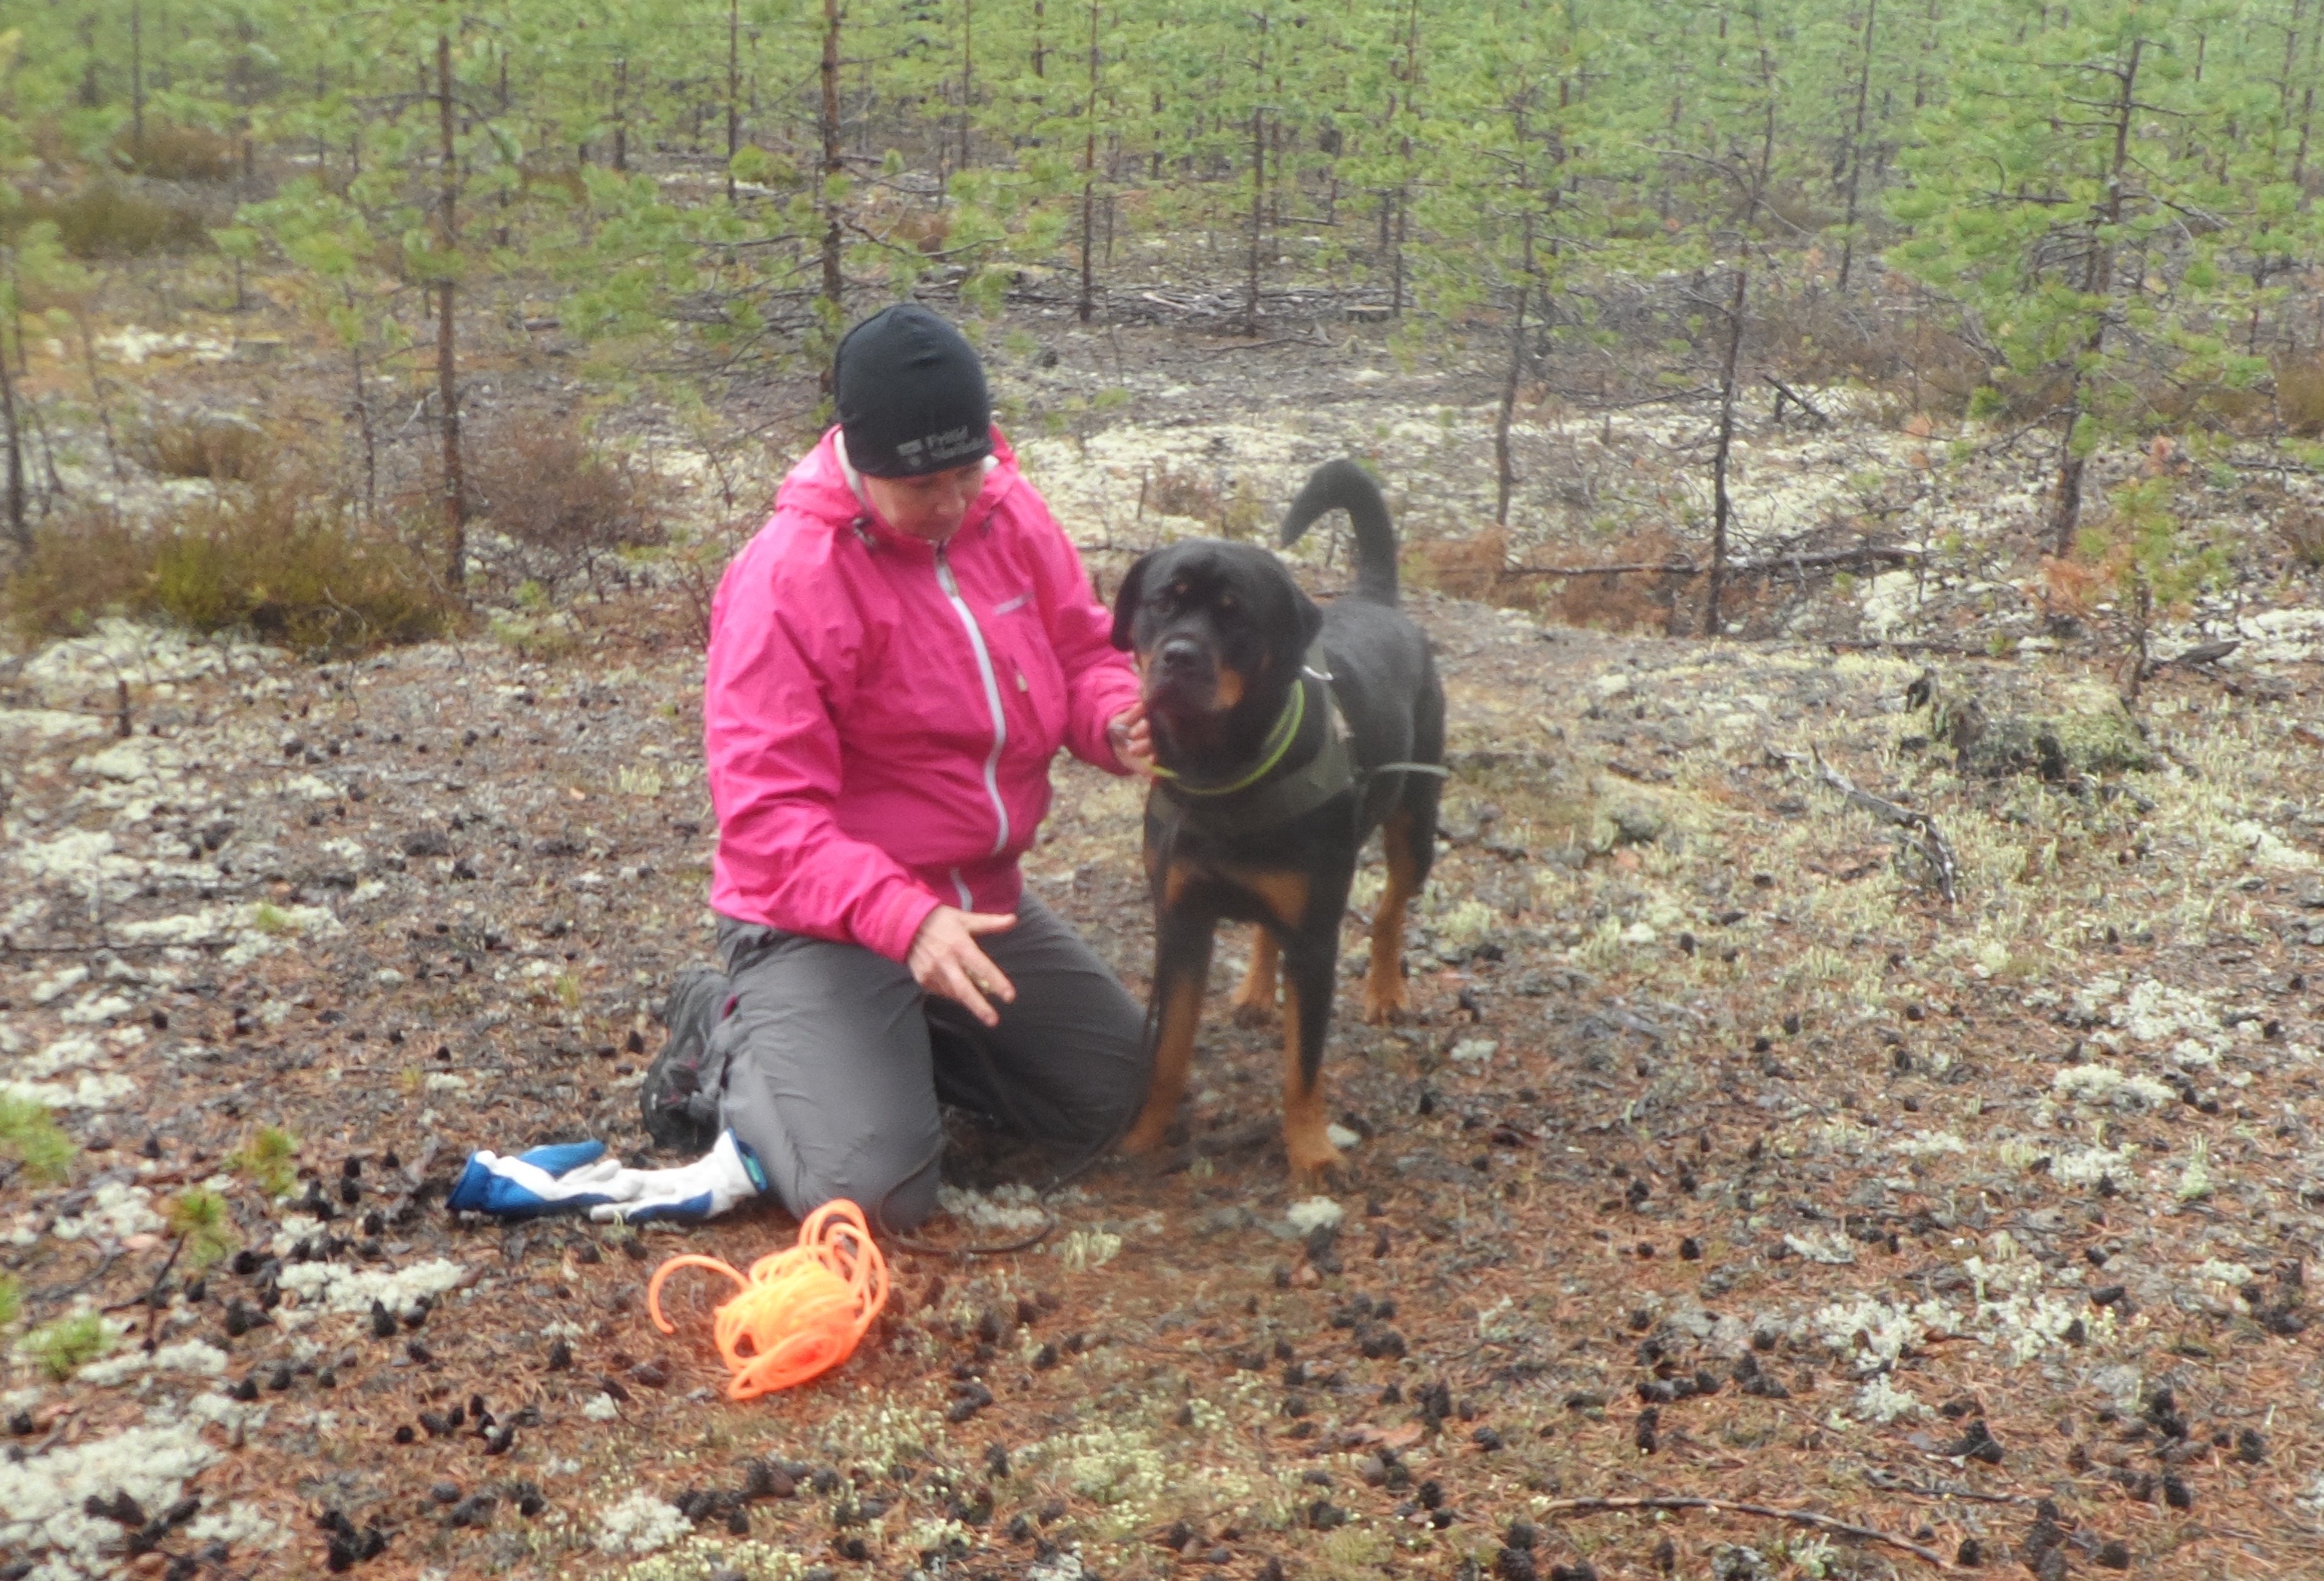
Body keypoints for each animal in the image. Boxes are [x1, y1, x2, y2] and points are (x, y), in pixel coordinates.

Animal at [1109, 459, 1445, 1178]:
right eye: (1162, 603)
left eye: (1235, 615)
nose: (1179, 655)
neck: (1218, 774)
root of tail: (1377, 600)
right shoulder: (1179, 924)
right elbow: (1168, 1049)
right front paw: (1144, 1135)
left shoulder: (1316, 939)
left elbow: (1303, 1065)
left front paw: (1311, 1150)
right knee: (1270, 926)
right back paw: (1259, 990)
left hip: (1415, 819)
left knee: (1390, 907)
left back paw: (1384, 989)